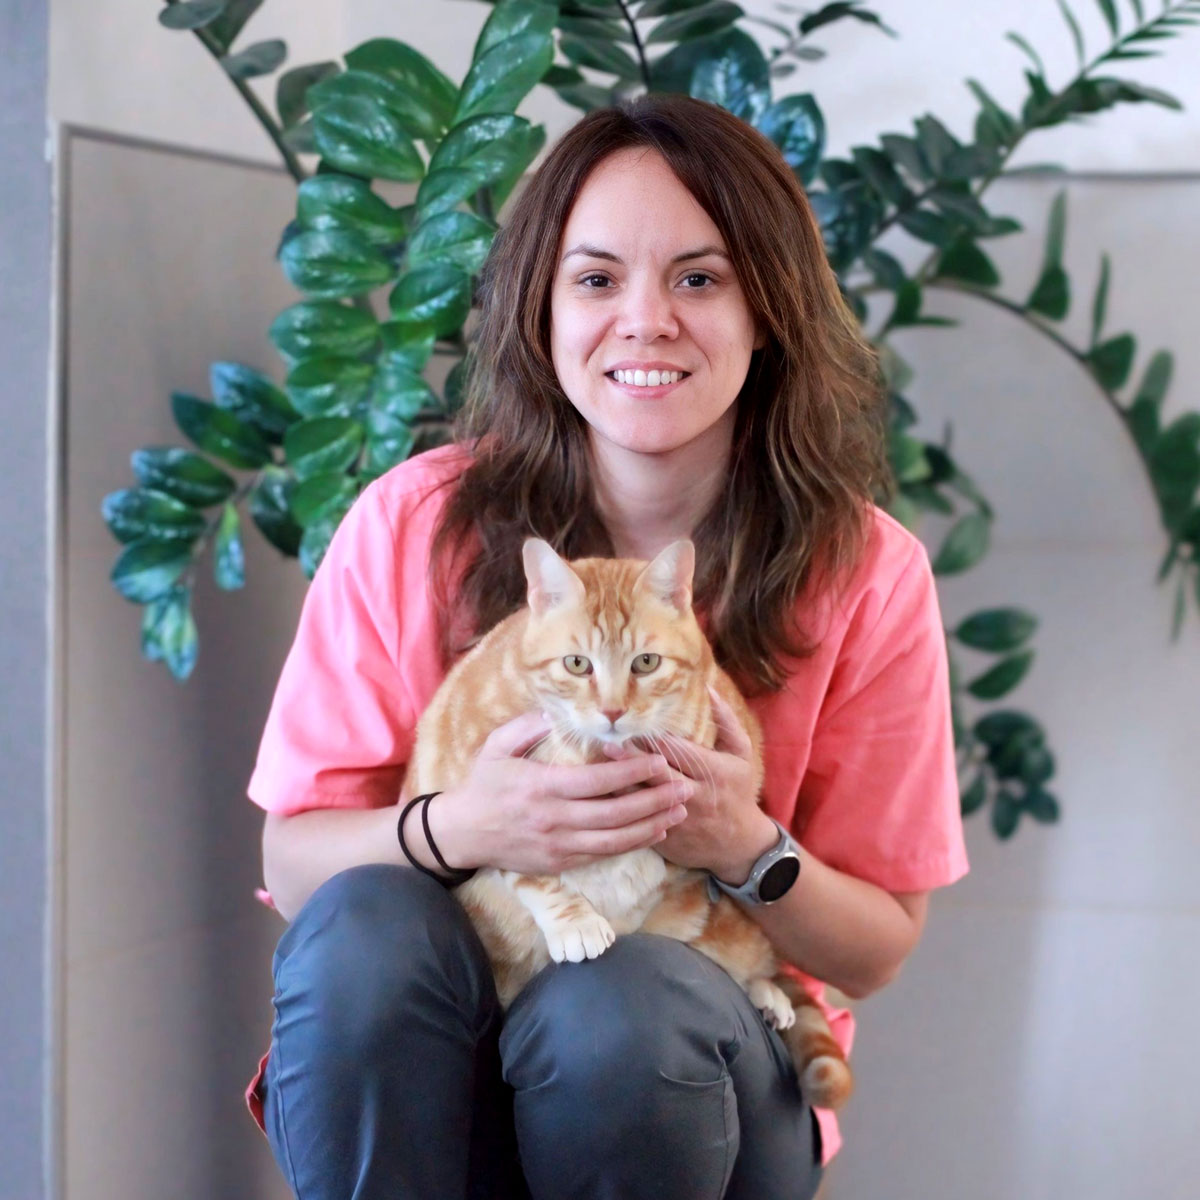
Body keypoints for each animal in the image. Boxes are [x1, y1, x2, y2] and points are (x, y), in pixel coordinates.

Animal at [408, 537, 853, 1110]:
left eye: (646, 662)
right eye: (577, 664)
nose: (613, 711)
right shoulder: (476, 784)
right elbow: (529, 869)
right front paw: (575, 922)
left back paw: (767, 994)